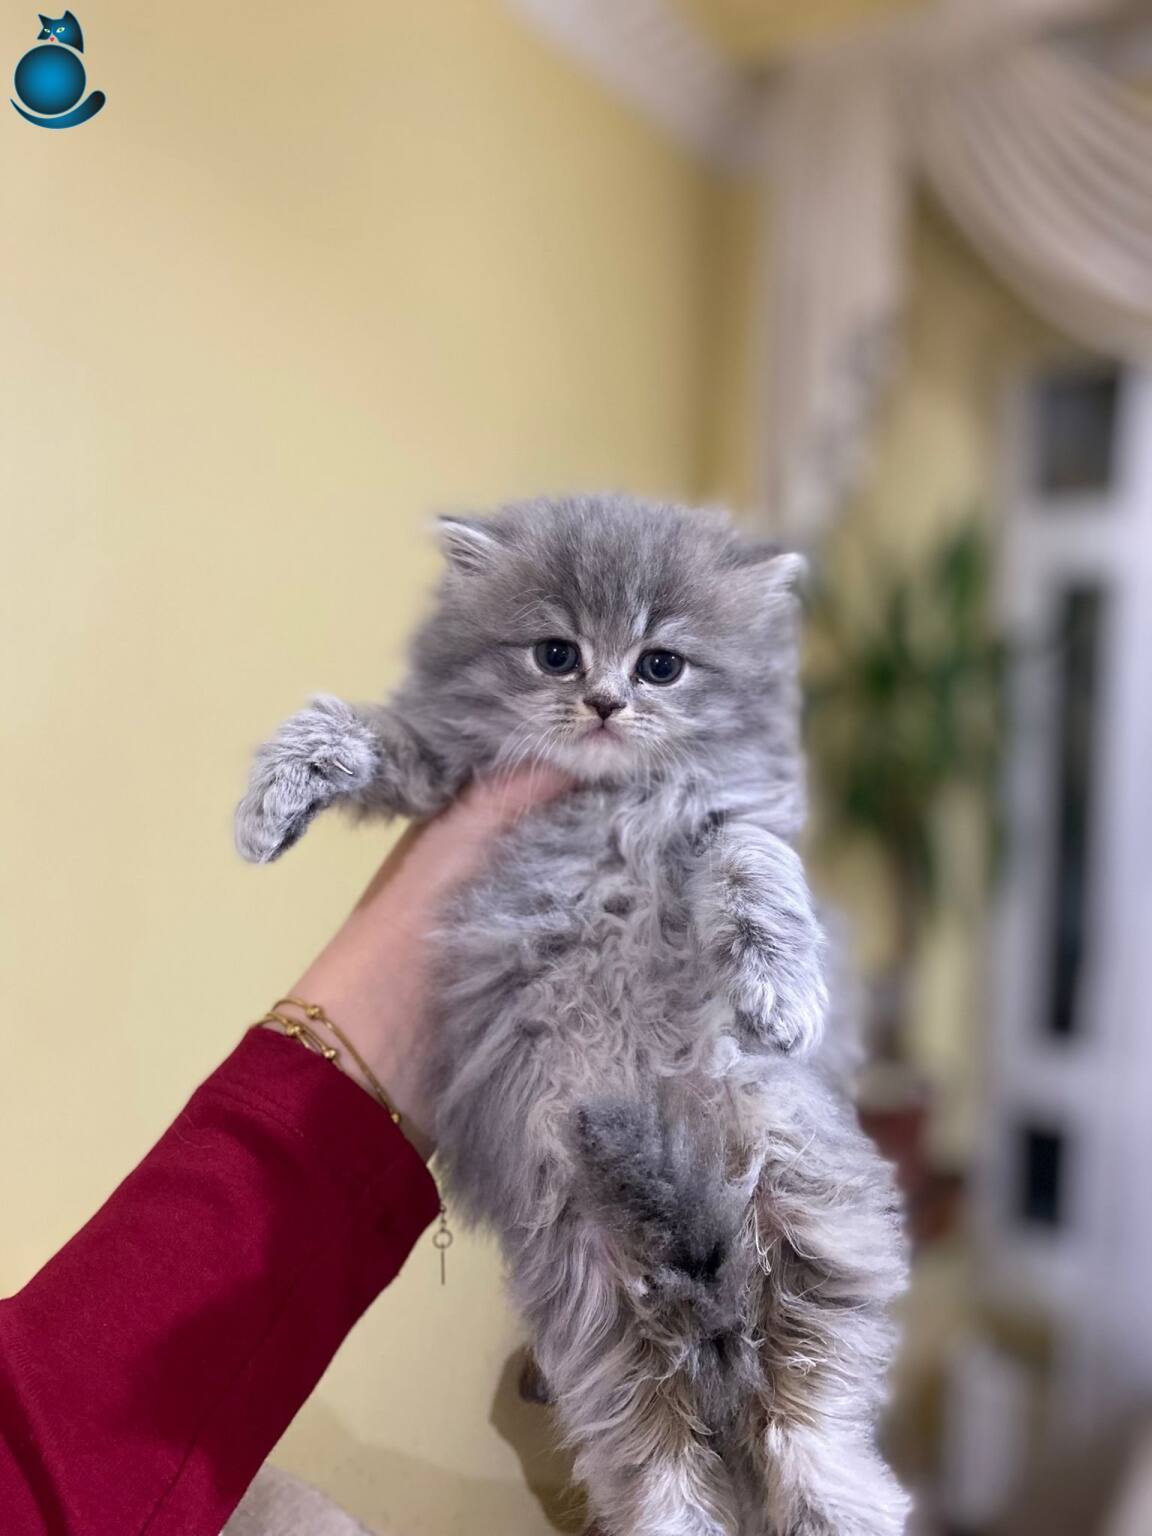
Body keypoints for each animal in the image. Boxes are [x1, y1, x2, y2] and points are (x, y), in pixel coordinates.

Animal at [235, 494, 909, 1536]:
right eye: (556, 654)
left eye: (661, 665)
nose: (603, 703)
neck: (601, 800)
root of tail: (704, 1277)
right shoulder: (446, 768)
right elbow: (360, 729)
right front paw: (276, 801)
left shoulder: (734, 815)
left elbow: (758, 871)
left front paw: (780, 994)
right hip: (598, 1315)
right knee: (666, 1477)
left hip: (801, 1211)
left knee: (815, 1429)